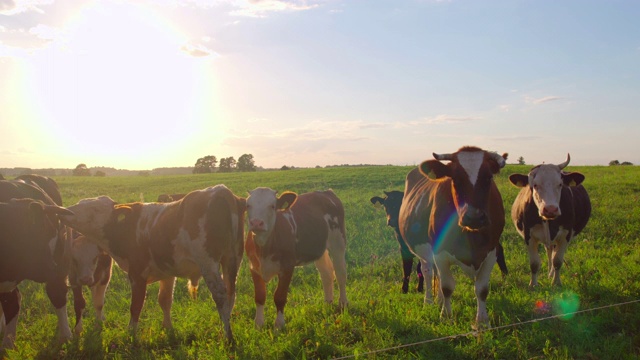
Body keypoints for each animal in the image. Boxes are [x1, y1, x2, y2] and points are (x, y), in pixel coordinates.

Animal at [57, 186, 245, 344]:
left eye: (94, 210)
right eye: (80, 204)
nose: (64, 211)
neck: (129, 227)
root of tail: (221, 190)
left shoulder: (137, 274)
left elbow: (136, 305)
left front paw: (131, 333)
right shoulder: (168, 272)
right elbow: (165, 300)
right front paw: (168, 328)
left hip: (209, 264)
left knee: (220, 295)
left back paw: (228, 336)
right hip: (232, 261)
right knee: (231, 294)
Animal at [245, 188, 348, 330]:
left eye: (272, 206)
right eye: (248, 205)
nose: (256, 223)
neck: (264, 248)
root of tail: (326, 192)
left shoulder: (287, 267)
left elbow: (280, 296)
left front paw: (279, 325)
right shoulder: (254, 267)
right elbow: (260, 296)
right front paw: (259, 324)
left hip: (338, 242)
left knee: (340, 273)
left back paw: (343, 303)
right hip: (319, 248)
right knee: (326, 273)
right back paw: (327, 303)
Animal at [398, 147, 508, 330]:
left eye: (488, 178)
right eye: (455, 179)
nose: (474, 217)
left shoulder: (491, 252)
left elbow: (482, 289)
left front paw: (482, 321)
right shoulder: (440, 252)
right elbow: (447, 286)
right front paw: (446, 317)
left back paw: (439, 301)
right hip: (426, 254)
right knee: (428, 273)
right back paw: (429, 302)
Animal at [508, 154, 592, 286]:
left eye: (560, 184)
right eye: (535, 185)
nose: (550, 209)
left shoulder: (566, 235)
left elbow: (557, 260)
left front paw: (556, 283)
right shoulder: (528, 236)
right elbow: (534, 263)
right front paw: (533, 285)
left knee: (552, 254)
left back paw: (551, 274)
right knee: (549, 251)